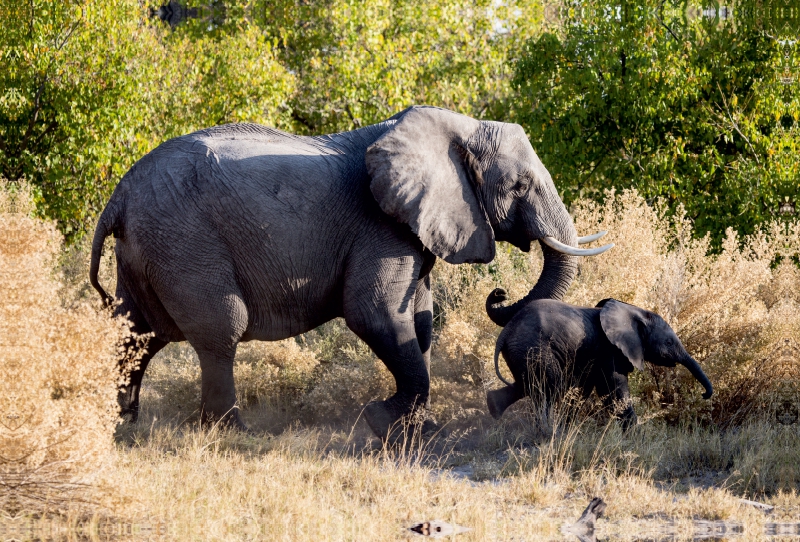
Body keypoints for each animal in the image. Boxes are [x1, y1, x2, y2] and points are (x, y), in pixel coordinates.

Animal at [89, 106, 612, 442]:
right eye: (519, 185)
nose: (499, 295)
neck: (459, 128)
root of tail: (119, 194)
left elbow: (420, 322)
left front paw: (417, 429)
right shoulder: (378, 224)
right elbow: (374, 314)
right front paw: (381, 423)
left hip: (148, 247)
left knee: (137, 334)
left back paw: (120, 424)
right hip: (184, 241)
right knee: (220, 328)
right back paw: (232, 434)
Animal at [488, 298, 712, 430]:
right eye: (669, 343)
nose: (704, 395)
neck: (635, 312)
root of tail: (506, 331)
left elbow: (584, 389)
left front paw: (570, 429)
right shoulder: (610, 349)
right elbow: (614, 388)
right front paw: (635, 435)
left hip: (523, 352)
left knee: (528, 385)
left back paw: (495, 410)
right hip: (534, 348)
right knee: (550, 388)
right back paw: (547, 431)